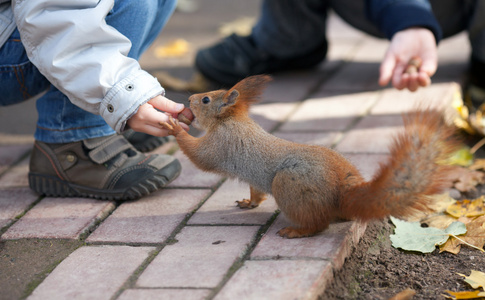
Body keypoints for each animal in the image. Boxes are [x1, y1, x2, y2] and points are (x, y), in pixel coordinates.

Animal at [161, 75, 460, 239]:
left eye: (206, 100)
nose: (190, 98)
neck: (231, 120)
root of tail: (343, 189)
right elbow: (256, 191)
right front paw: (249, 202)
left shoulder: (222, 144)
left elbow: (200, 157)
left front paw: (174, 127)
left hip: (289, 185)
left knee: (318, 224)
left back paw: (296, 231)